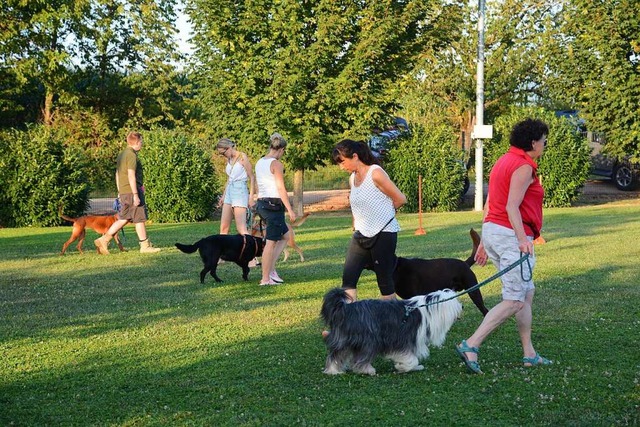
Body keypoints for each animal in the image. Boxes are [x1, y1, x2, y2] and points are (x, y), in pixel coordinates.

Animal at [322, 290, 462, 376]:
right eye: (455, 303)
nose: (463, 306)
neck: (427, 311)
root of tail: (346, 308)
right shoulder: (402, 340)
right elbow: (411, 359)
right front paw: (402, 367)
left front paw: (412, 367)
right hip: (369, 339)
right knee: (360, 357)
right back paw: (367, 370)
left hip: (344, 339)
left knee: (336, 354)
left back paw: (333, 370)